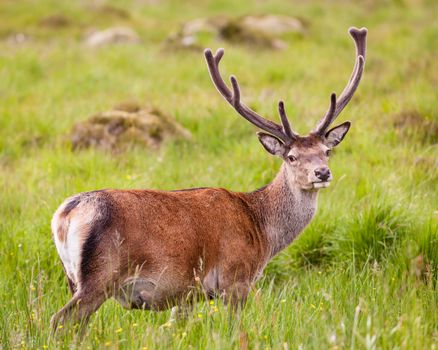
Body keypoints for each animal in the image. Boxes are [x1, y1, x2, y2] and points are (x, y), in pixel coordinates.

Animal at [50, 26, 366, 328]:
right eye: (291, 157)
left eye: (327, 151)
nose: (322, 172)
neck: (262, 231)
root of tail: (65, 214)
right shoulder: (235, 278)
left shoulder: (186, 294)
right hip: (101, 274)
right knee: (61, 319)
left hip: (72, 276)